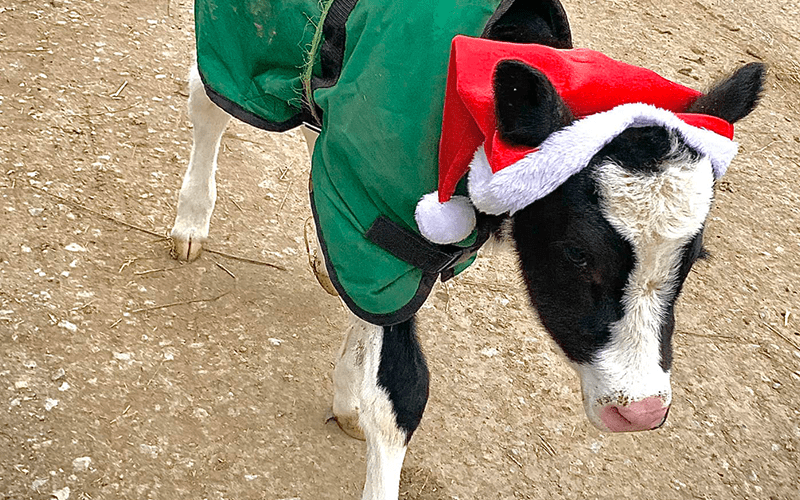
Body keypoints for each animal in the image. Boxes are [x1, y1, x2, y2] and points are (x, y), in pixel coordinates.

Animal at [168, 1, 765, 498]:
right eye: (577, 254)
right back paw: (191, 221)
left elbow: (369, 316)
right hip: (247, 45)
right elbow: (402, 393)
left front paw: (347, 396)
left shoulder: (374, 230)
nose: (641, 411)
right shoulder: (385, 229)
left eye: (695, 258)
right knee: (208, 94)